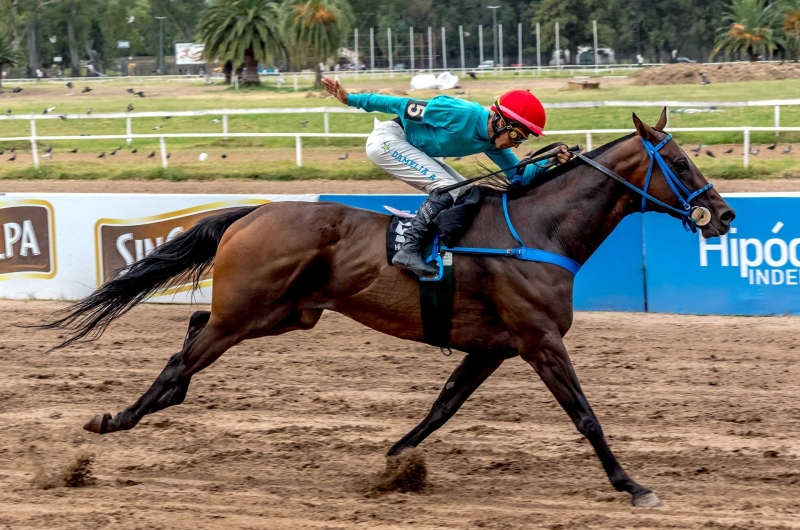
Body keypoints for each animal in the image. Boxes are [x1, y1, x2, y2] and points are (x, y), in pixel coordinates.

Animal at [42, 110, 732, 504]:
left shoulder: (495, 346)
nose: (724, 215)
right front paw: (632, 486)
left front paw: (392, 464)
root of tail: (253, 211)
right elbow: (586, 417)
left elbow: (442, 407)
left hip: (285, 313)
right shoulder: (539, 339)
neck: (538, 230)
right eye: (678, 161)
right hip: (250, 311)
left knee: (192, 330)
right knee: (181, 359)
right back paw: (115, 420)